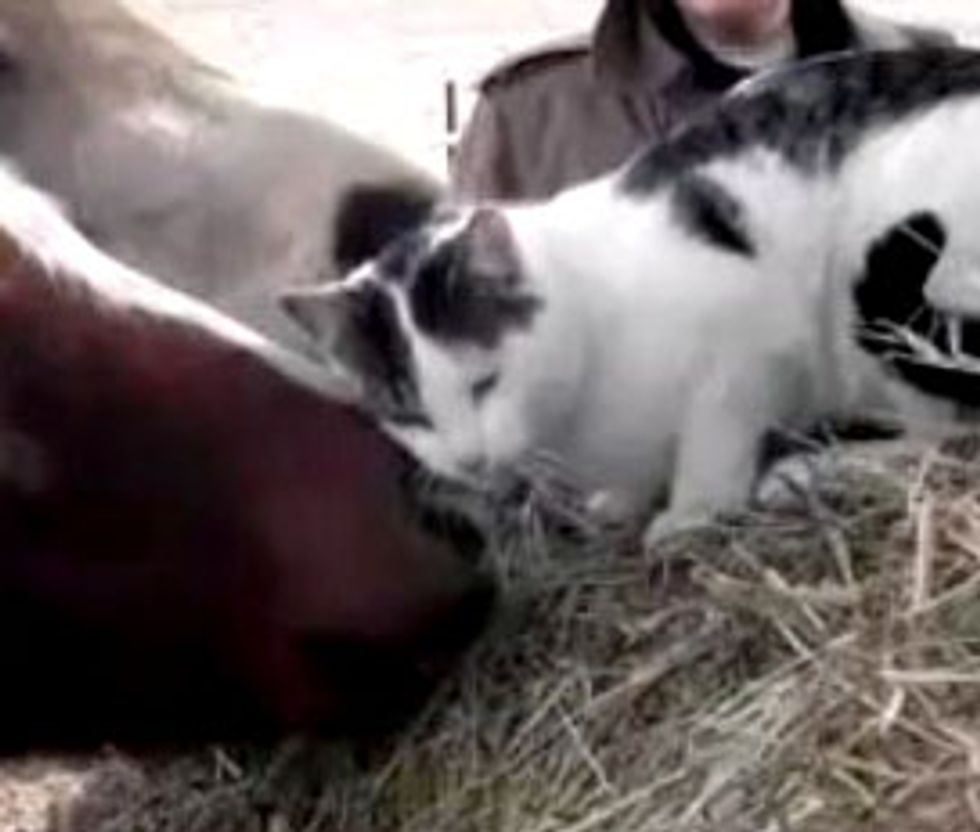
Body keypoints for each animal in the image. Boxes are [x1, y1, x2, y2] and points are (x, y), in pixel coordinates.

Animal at [282, 48, 980, 540]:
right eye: (408, 411)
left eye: (484, 382)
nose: (471, 462)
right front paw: (622, 502)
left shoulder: (746, 344)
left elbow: (714, 438)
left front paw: (692, 513)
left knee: (946, 440)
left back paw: (814, 471)